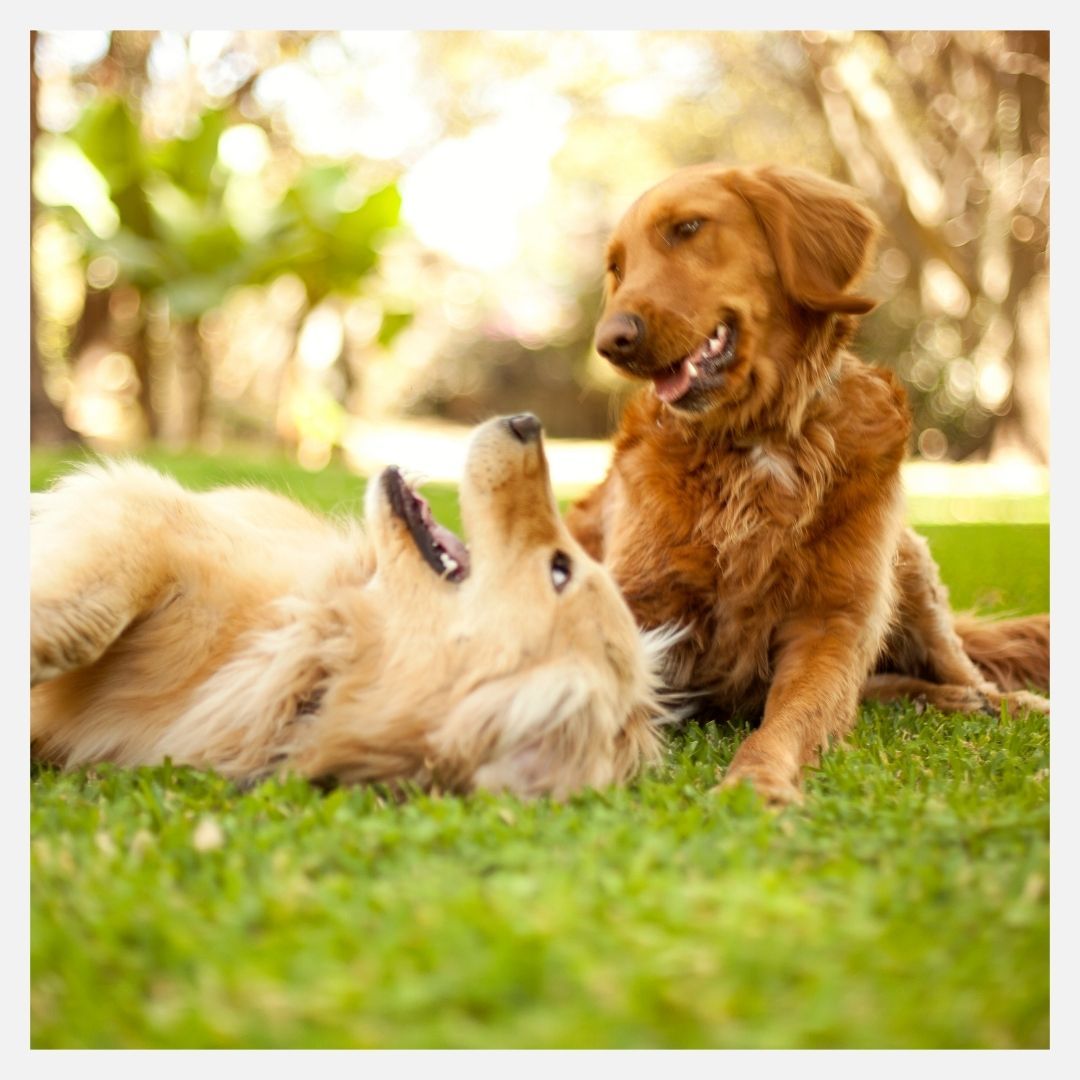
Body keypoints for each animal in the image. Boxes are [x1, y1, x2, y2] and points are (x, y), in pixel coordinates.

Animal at [570, 159, 1049, 803]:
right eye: (617, 268)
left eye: (687, 228)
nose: (610, 342)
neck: (759, 441)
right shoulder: (640, 606)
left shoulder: (832, 622)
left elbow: (794, 716)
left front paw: (755, 780)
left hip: (909, 569)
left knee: (952, 668)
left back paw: (1000, 701)